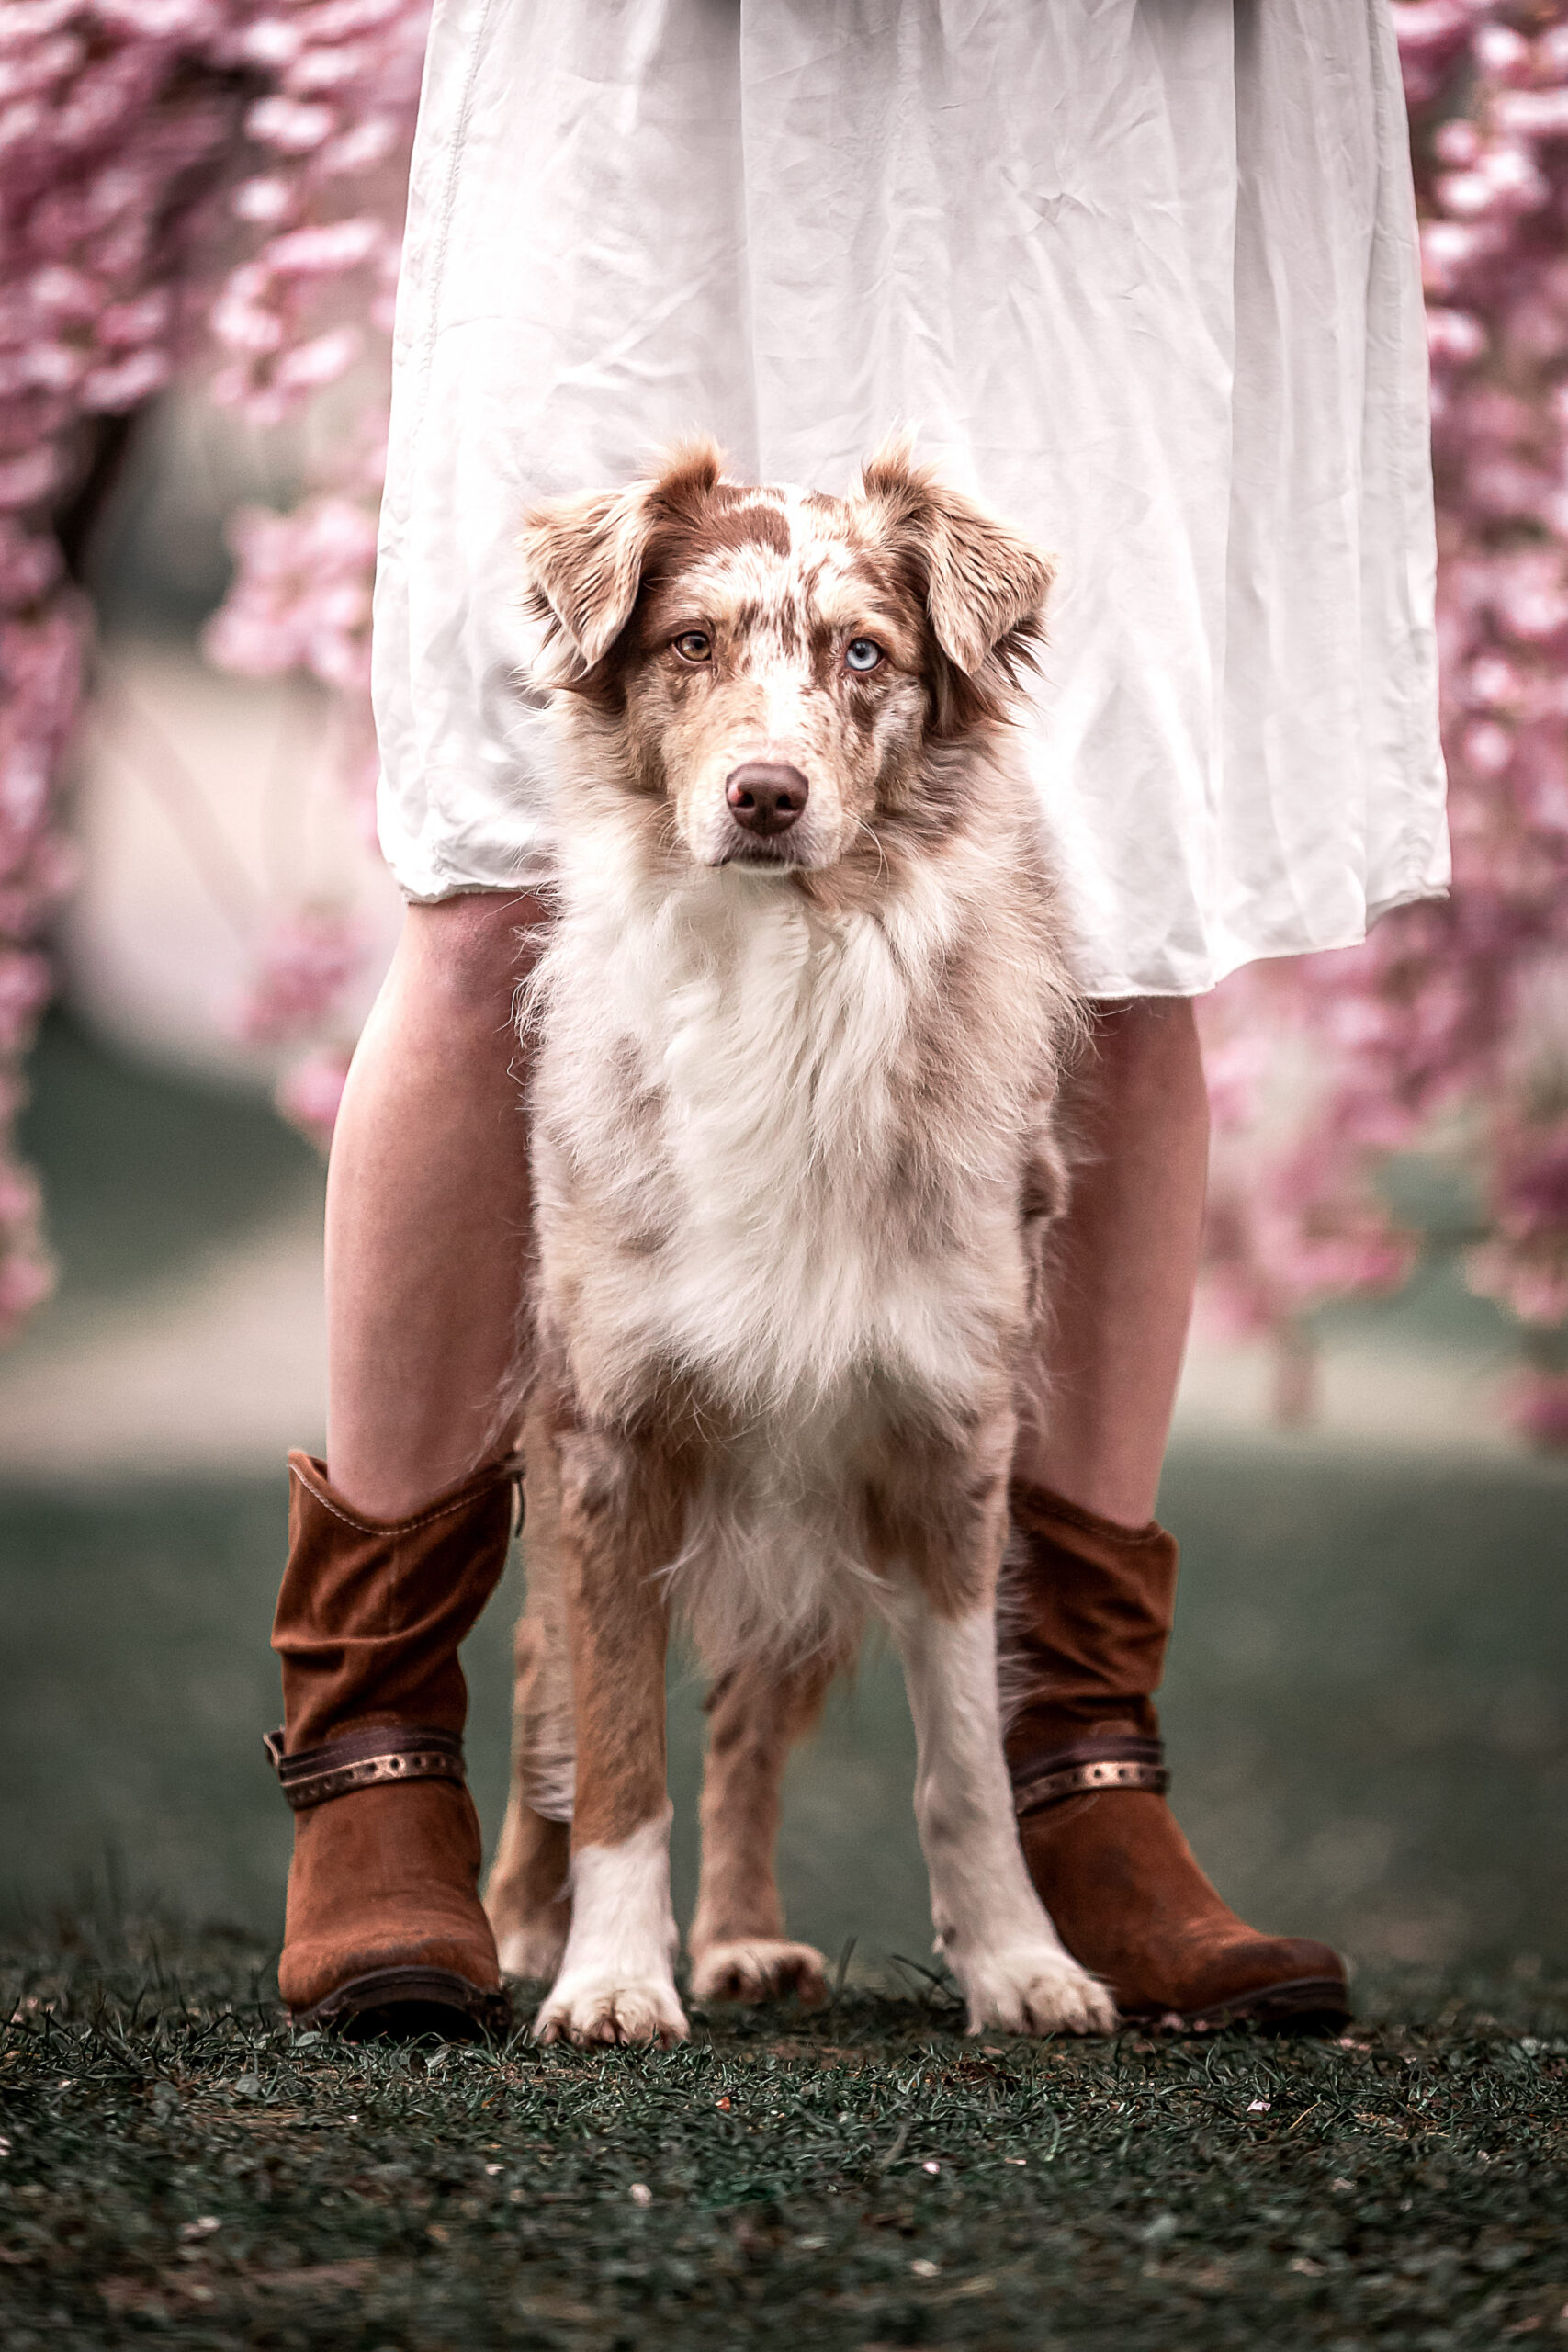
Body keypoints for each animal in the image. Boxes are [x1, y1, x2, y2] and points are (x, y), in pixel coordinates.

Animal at [481, 437, 1114, 2041]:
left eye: (863, 653)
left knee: (744, 1721)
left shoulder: (945, 1439)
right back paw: (517, 1923)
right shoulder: (612, 1443)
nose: (763, 795)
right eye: (689, 642)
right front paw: (607, 1979)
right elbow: (614, 1755)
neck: (784, 970)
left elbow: (964, 1766)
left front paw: (1016, 1962)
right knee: (542, 1710)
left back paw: (739, 1940)